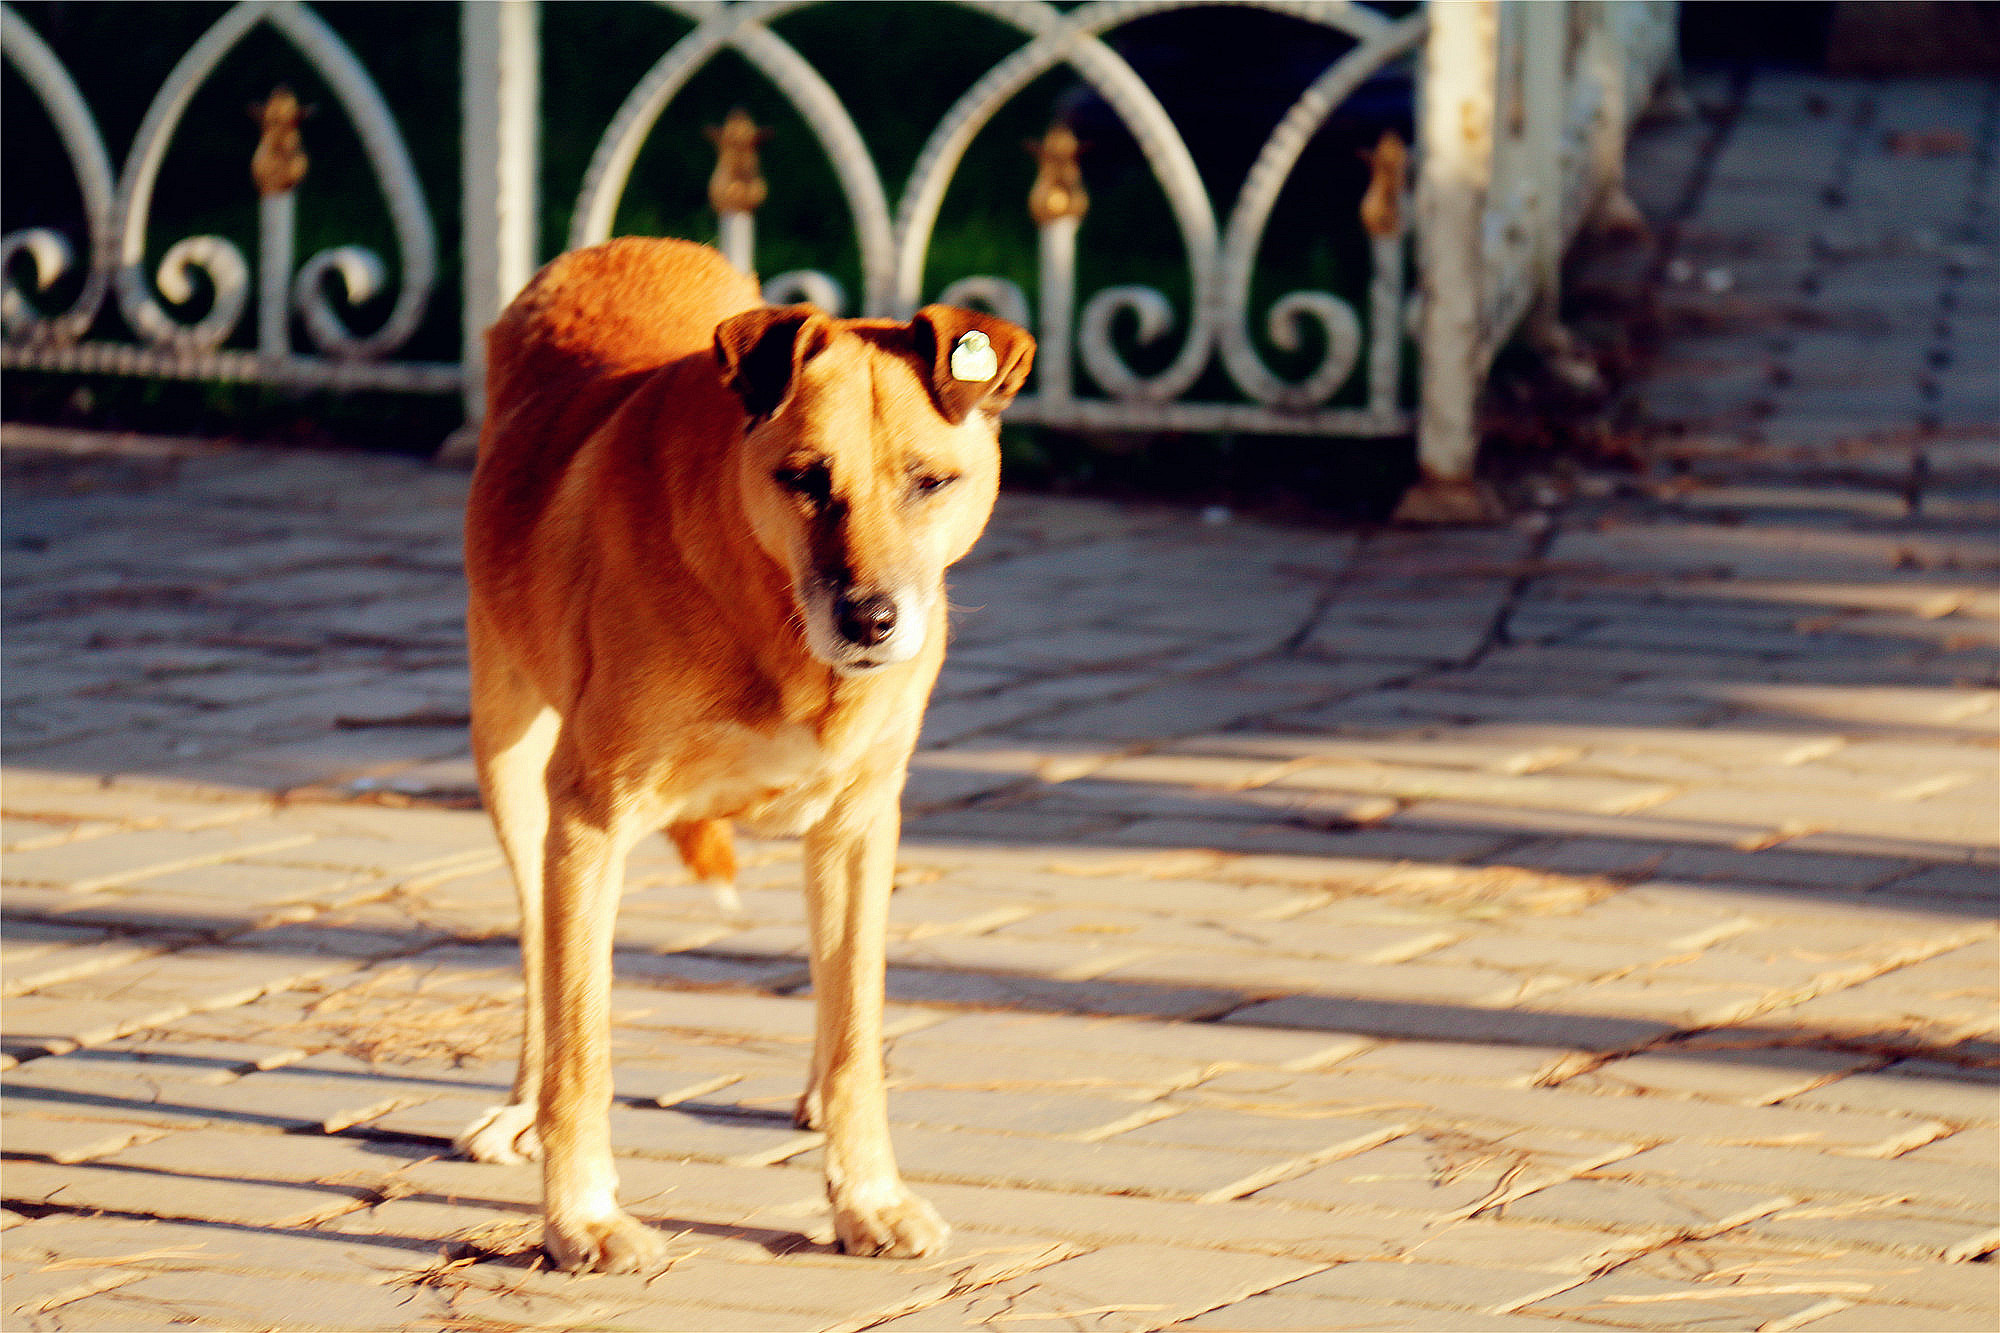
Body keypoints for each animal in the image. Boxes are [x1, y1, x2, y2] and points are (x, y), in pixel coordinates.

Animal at [458, 236, 1032, 1264]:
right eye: (805, 478)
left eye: (931, 481)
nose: (874, 620)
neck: (776, 621)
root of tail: (627, 244)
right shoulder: (588, 816)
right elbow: (582, 1040)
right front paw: (582, 1216)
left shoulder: (859, 824)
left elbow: (854, 1027)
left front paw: (868, 1195)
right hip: (512, 762)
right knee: (537, 962)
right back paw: (522, 1109)